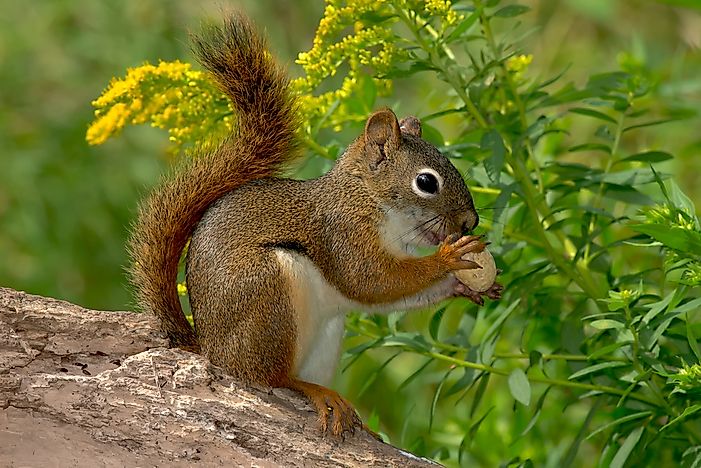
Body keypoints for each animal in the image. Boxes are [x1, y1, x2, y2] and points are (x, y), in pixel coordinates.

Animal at [129, 14, 504, 438]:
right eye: (426, 182)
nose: (470, 221)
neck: (369, 199)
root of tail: (210, 349)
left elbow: (390, 293)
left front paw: (468, 285)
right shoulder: (342, 232)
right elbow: (369, 279)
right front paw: (448, 258)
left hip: (325, 334)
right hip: (267, 296)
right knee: (268, 376)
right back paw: (311, 390)